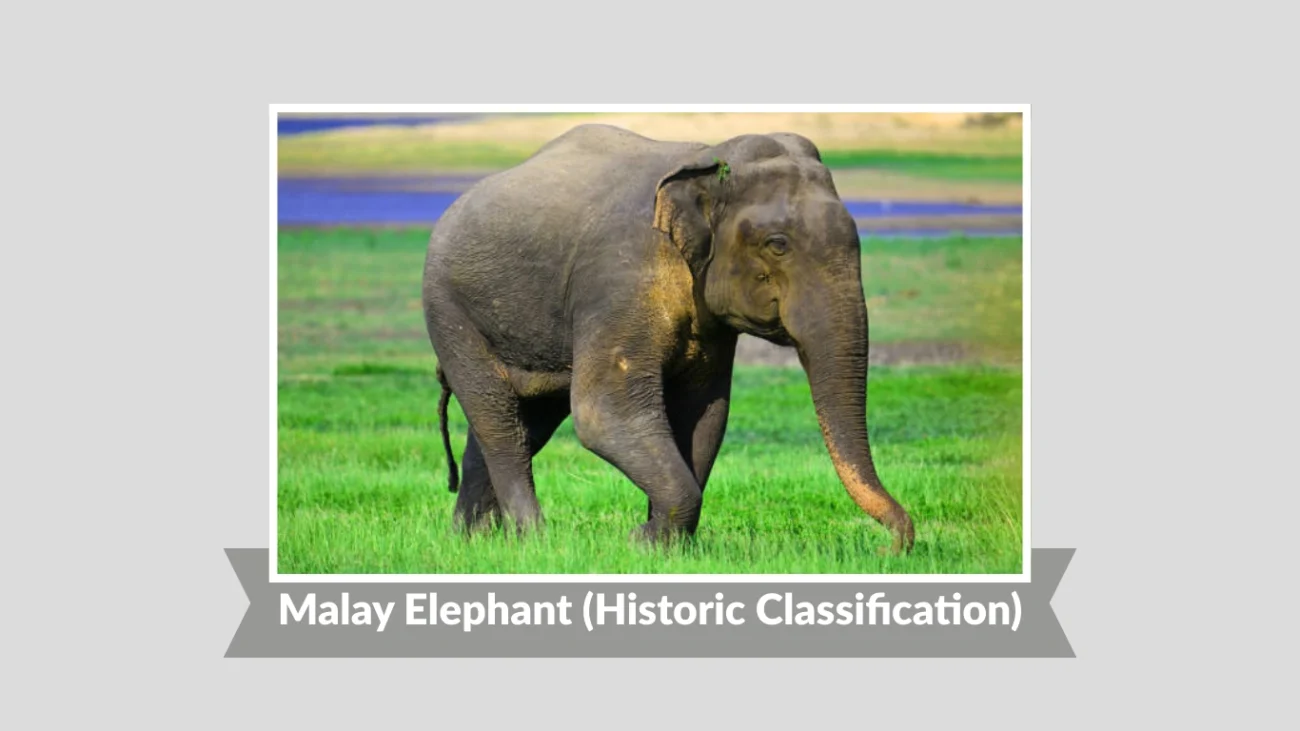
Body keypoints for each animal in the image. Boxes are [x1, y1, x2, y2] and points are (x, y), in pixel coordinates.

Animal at [423, 123, 915, 553]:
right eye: (777, 244)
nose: (889, 547)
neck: (706, 158)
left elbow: (704, 415)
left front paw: (660, 544)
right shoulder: (618, 281)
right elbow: (604, 415)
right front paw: (642, 541)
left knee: (523, 423)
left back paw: (470, 540)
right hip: (449, 311)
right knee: (498, 419)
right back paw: (533, 540)